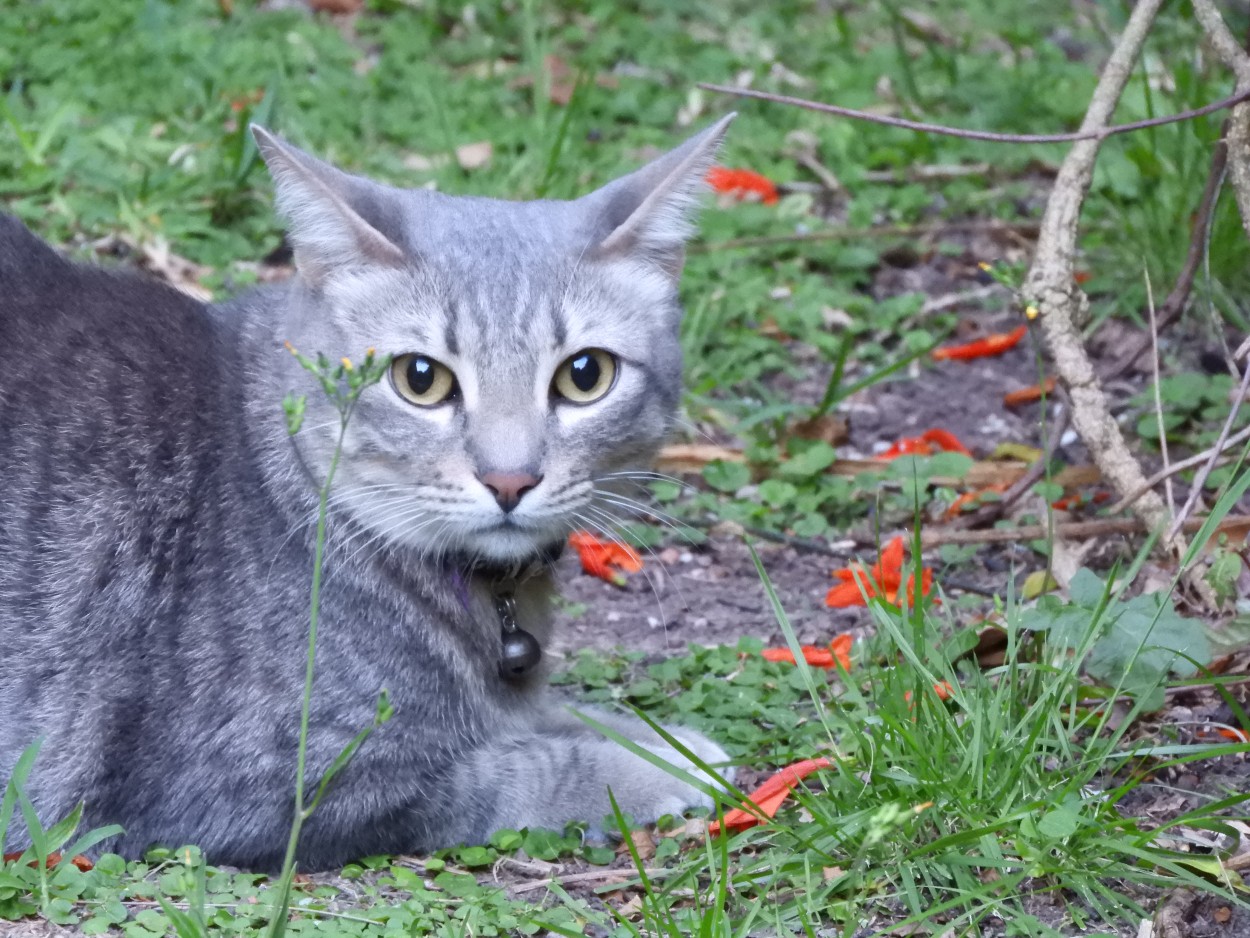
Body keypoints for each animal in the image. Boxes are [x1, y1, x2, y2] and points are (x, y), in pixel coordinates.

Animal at [0, 115, 735, 875]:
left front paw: (653, 735)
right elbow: (525, 766)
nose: (510, 479)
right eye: (421, 379)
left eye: (585, 376)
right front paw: (661, 766)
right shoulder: (270, 789)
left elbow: (552, 716)